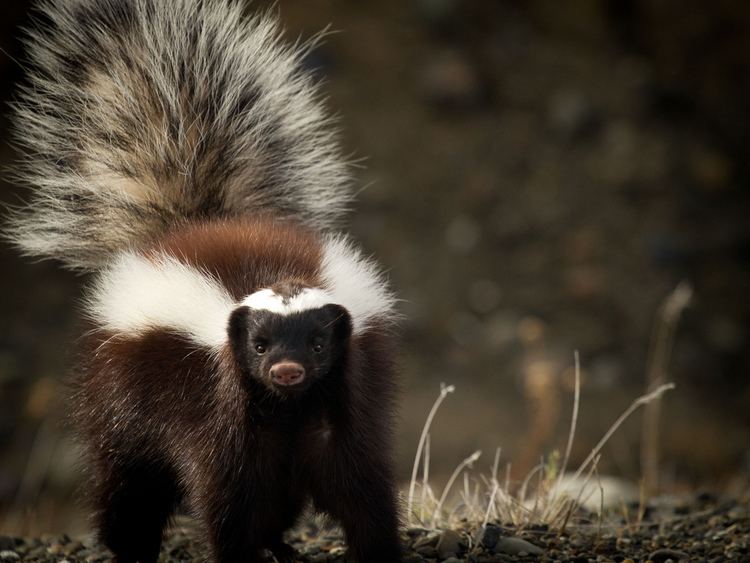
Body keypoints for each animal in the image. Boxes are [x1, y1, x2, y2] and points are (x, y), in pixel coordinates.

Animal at [4, 1, 406, 563]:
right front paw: (238, 554)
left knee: (276, 495)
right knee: (128, 481)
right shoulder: (216, 409)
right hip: (118, 391)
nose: (286, 370)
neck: (286, 407)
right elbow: (228, 491)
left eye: (318, 343)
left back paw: (279, 545)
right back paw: (130, 547)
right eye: (258, 345)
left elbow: (357, 481)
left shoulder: (340, 398)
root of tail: (192, 223)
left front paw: (375, 549)